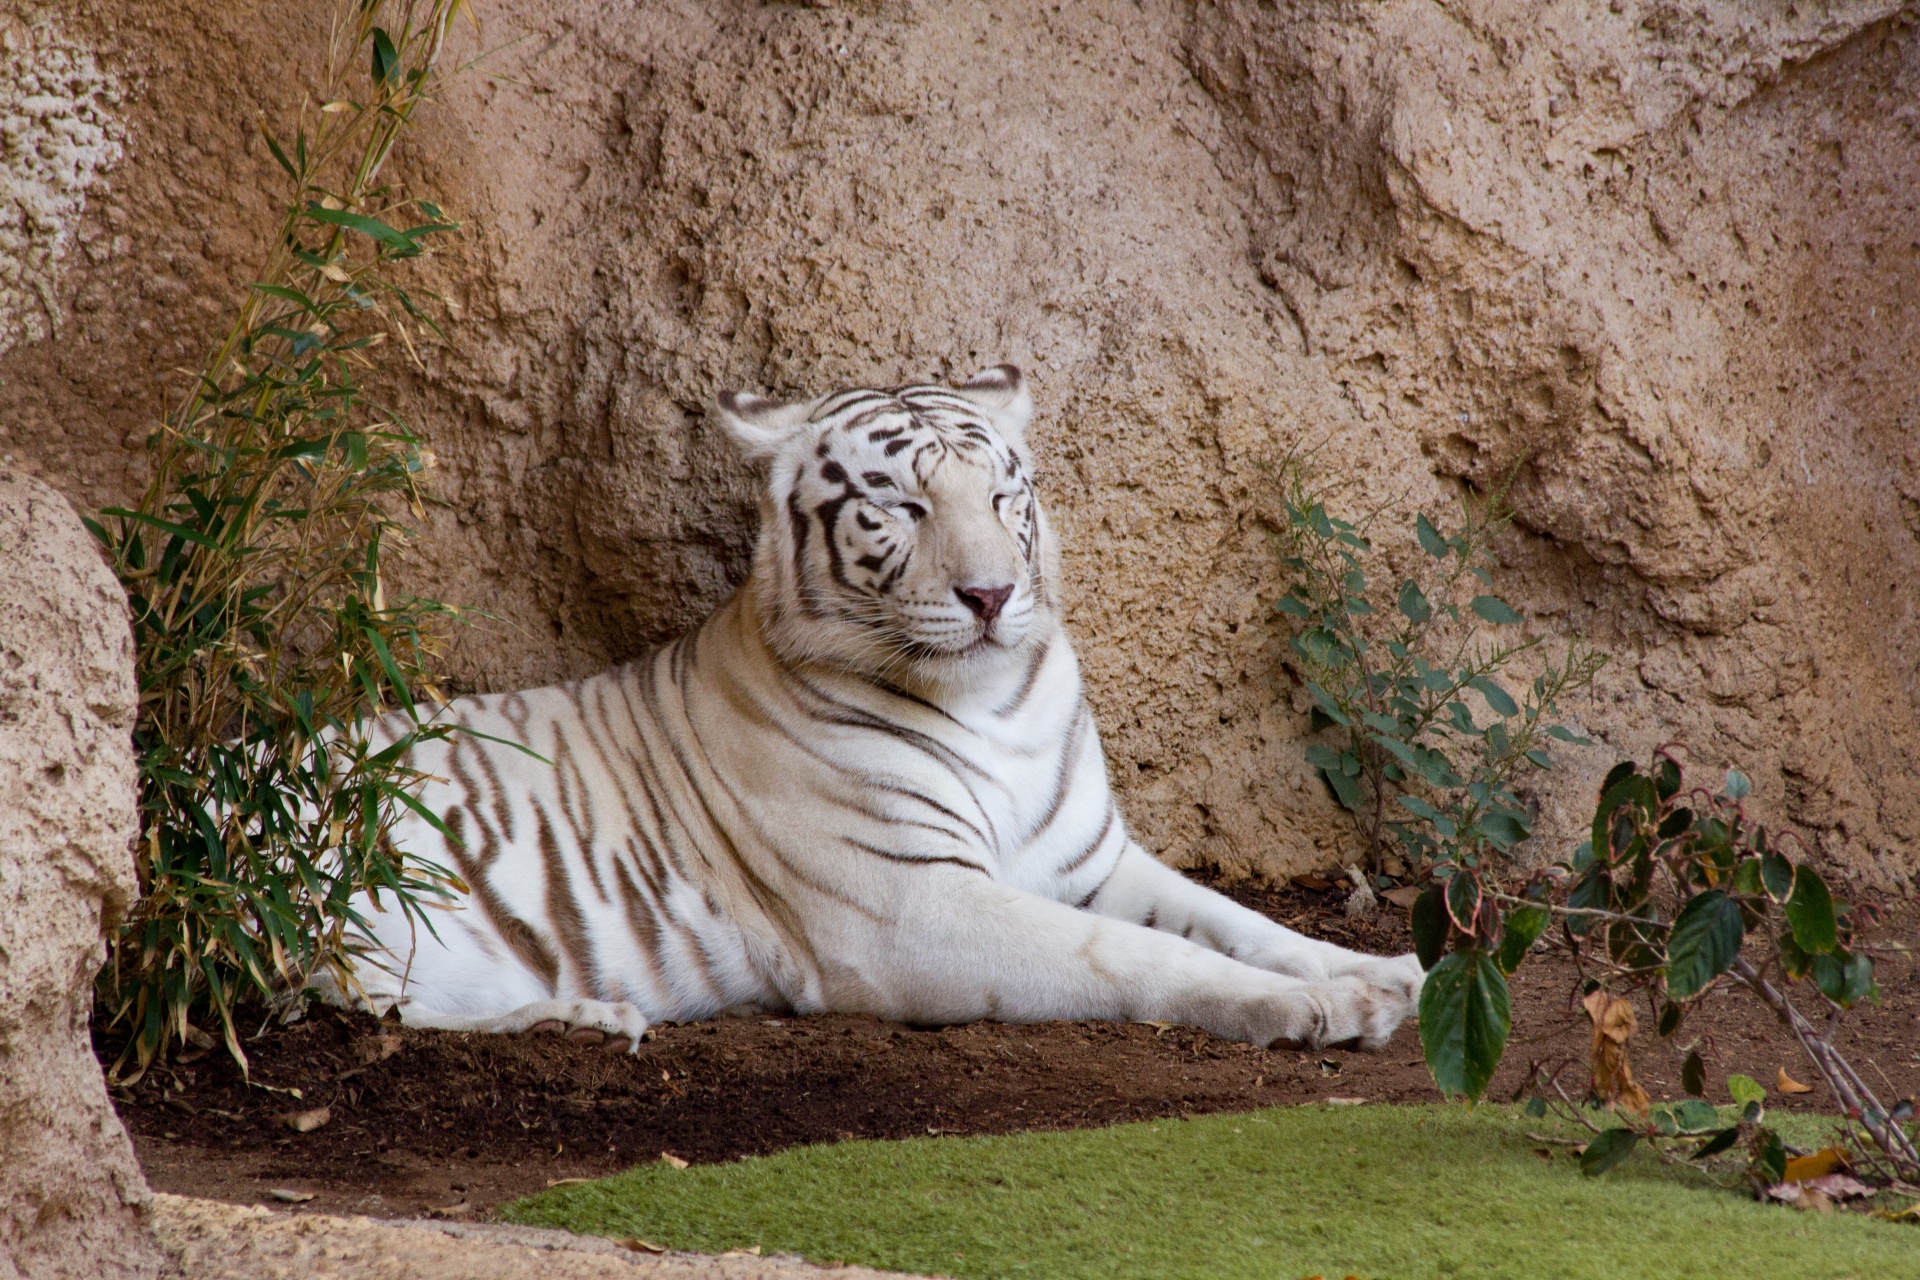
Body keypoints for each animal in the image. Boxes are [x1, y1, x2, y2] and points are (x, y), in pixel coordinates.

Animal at [341, 368, 1428, 1051]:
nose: (991, 595)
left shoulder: (1092, 861)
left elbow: (1239, 920)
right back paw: (585, 1018)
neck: (997, 706)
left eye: (1002, 497)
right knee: (354, 1005)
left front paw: (1388, 970)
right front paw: (1325, 1007)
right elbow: (1140, 951)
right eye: (902, 507)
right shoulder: (912, 908)